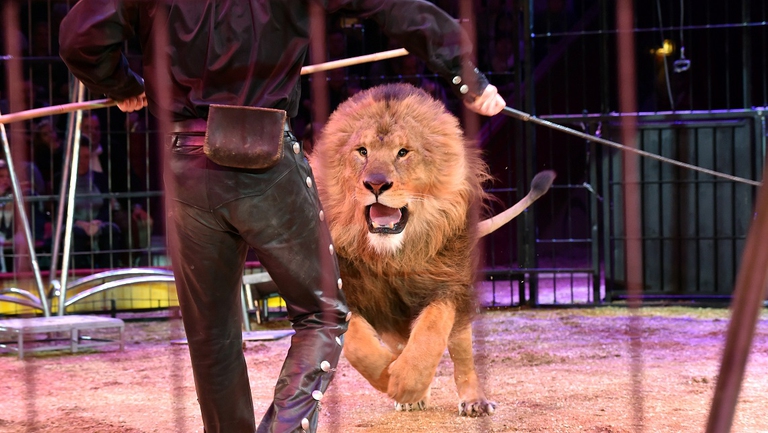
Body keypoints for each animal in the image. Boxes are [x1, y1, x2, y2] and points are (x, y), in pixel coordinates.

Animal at [309, 83, 553, 416]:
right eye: (362, 151)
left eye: (403, 152)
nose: (376, 184)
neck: (390, 257)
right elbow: (358, 345)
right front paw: (390, 376)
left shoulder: (447, 284)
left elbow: (431, 333)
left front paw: (405, 381)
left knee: (461, 353)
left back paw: (473, 401)